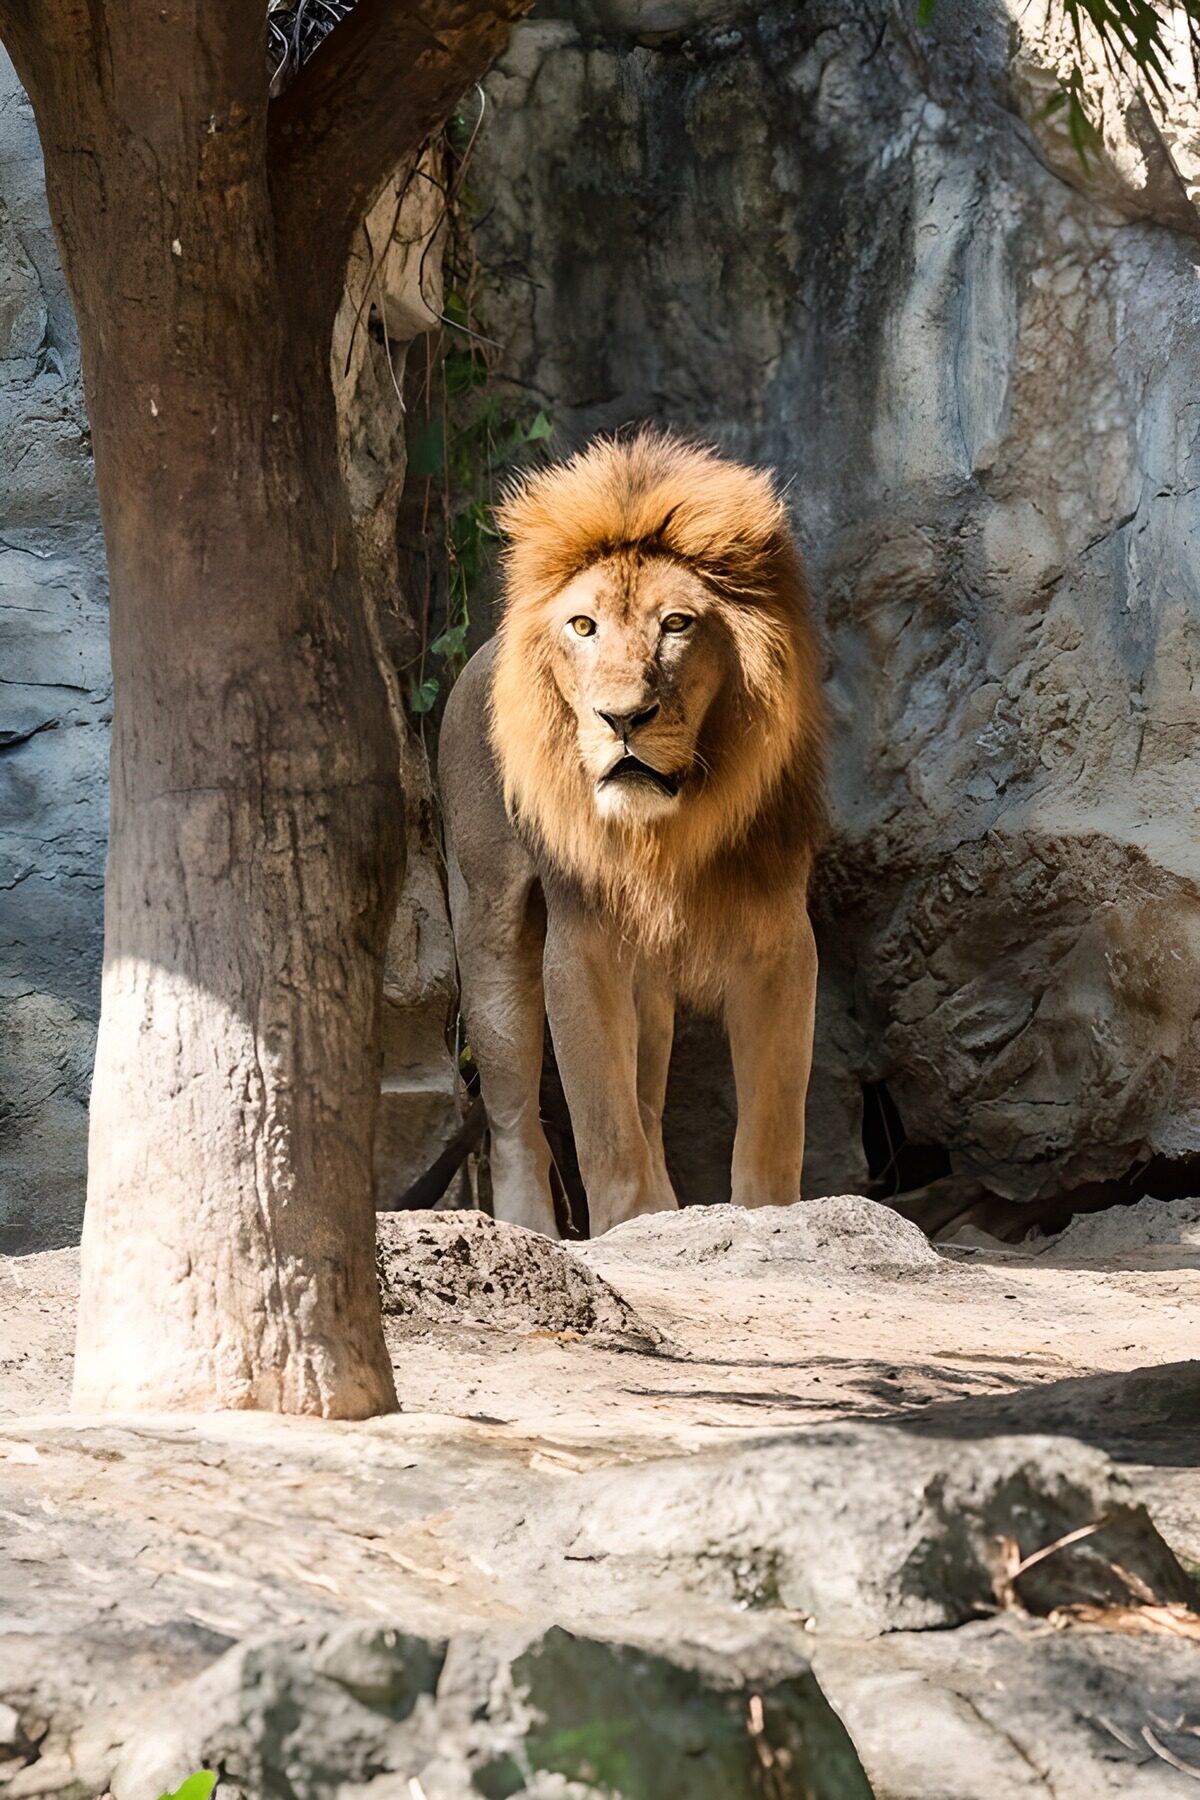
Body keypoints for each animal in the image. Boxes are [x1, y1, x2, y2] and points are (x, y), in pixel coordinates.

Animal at [438, 429, 825, 1238]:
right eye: (583, 626)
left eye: (676, 624)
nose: (621, 718)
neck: (668, 831)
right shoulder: (581, 945)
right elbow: (603, 1127)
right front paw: (624, 1232)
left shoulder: (779, 938)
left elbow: (772, 1127)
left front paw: (771, 1226)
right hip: (490, 927)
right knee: (515, 1119)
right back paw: (529, 1232)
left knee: (648, 1104)